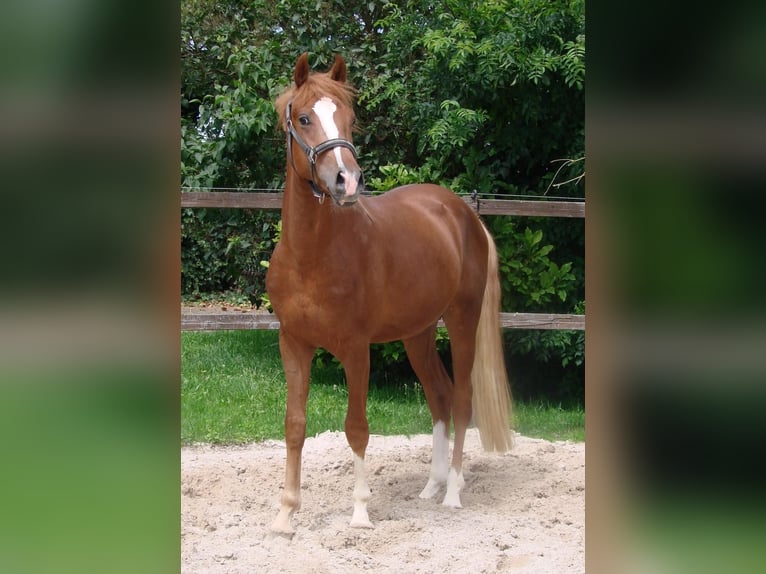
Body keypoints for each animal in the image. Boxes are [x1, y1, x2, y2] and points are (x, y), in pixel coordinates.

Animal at [268, 54, 512, 536]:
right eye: (304, 118)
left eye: (350, 117)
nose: (346, 181)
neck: (310, 257)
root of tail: (463, 214)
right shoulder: (294, 344)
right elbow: (294, 425)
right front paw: (286, 514)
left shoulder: (355, 348)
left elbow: (357, 427)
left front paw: (360, 512)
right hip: (417, 333)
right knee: (439, 396)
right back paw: (433, 485)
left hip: (462, 319)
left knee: (461, 399)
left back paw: (452, 492)